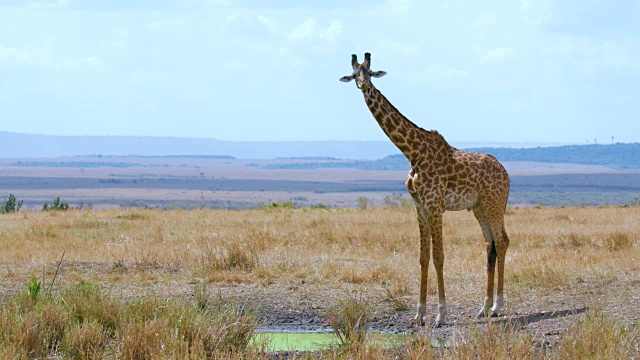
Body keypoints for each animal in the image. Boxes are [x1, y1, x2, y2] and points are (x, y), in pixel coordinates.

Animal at [340, 52, 510, 326]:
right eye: (355, 74)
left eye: (370, 72)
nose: (363, 85)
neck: (413, 153)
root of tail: (506, 172)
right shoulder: (419, 206)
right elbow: (423, 257)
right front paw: (419, 314)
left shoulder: (434, 204)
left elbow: (439, 257)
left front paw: (440, 315)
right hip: (479, 207)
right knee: (490, 245)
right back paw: (484, 308)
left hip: (495, 203)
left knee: (502, 241)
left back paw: (497, 306)